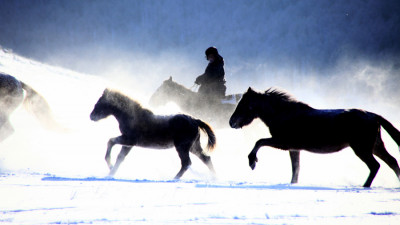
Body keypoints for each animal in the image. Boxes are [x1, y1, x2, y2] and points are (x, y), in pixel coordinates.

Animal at [89, 89, 217, 178]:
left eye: (100, 103)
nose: (91, 116)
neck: (131, 116)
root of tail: (195, 120)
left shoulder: (129, 140)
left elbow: (111, 141)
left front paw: (110, 166)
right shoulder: (129, 144)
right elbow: (120, 157)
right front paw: (111, 173)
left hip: (182, 147)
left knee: (186, 163)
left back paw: (174, 179)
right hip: (193, 146)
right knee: (206, 158)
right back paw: (214, 178)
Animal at [228, 87, 400, 187]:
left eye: (244, 105)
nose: (231, 122)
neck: (284, 114)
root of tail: (374, 116)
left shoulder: (283, 143)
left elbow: (259, 142)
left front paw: (252, 162)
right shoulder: (293, 148)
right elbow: (295, 170)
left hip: (362, 148)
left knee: (375, 166)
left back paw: (364, 186)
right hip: (376, 146)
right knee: (392, 162)